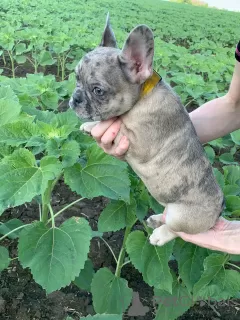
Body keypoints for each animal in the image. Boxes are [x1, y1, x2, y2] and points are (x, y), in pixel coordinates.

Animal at [69, 13, 225, 246]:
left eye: (98, 91)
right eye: (76, 78)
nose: (75, 98)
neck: (142, 96)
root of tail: (218, 212)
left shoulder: (138, 142)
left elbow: (116, 124)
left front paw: (96, 124)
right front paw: (89, 126)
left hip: (182, 216)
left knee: (176, 229)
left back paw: (160, 234)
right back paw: (155, 220)